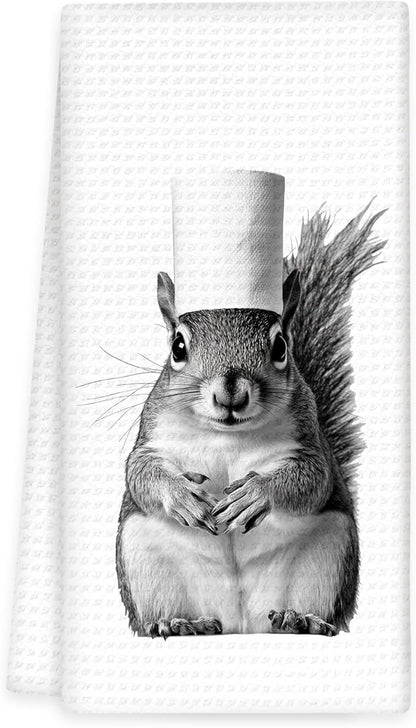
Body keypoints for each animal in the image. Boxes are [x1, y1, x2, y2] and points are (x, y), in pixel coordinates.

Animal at [116, 203, 385, 638]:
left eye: (280, 346)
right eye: (178, 346)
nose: (231, 393)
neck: (227, 435)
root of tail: (239, 623)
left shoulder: (310, 440)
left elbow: (312, 478)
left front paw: (256, 494)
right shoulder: (151, 435)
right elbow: (139, 473)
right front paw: (182, 495)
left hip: (331, 550)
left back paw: (299, 619)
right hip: (141, 555)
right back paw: (178, 622)